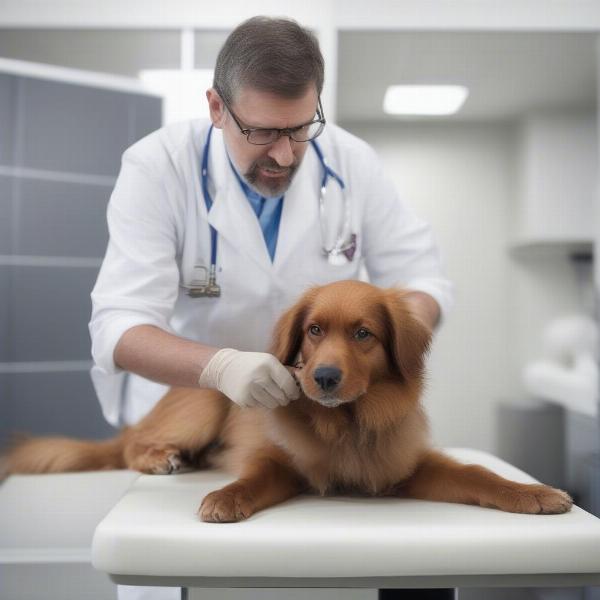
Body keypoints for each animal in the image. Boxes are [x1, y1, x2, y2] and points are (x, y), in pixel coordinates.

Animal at [1, 282, 572, 520]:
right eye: (314, 329)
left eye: (363, 334)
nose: (323, 377)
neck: (348, 426)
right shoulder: (280, 461)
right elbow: (254, 476)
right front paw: (225, 497)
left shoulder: (407, 467)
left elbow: (478, 476)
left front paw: (533, 493)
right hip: (206, 402)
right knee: (129, 444)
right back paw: (164, 457)